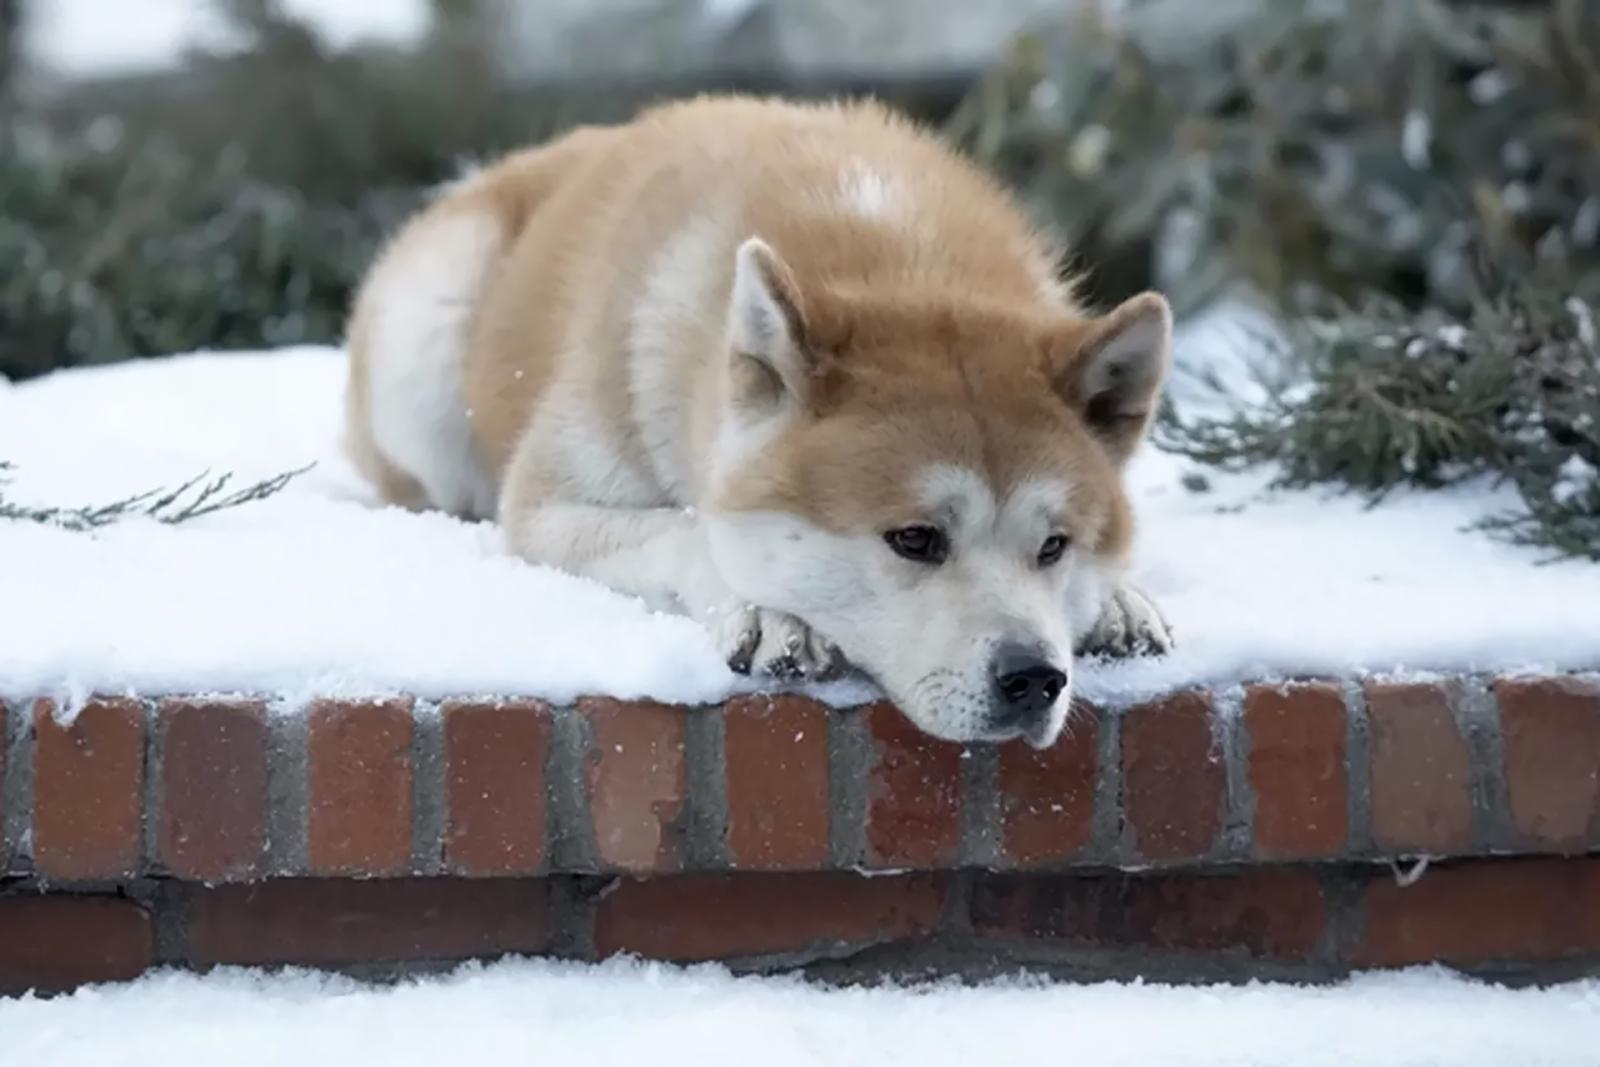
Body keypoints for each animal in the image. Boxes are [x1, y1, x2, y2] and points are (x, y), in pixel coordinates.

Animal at [347, 97, 1177, 751]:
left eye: (1054, 545)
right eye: (914, 538)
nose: (1034, 677)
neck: (896, 257)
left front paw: (1117, 603)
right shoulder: (546, 507)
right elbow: (684, 528)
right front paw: (765, 613)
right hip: (427, 339)